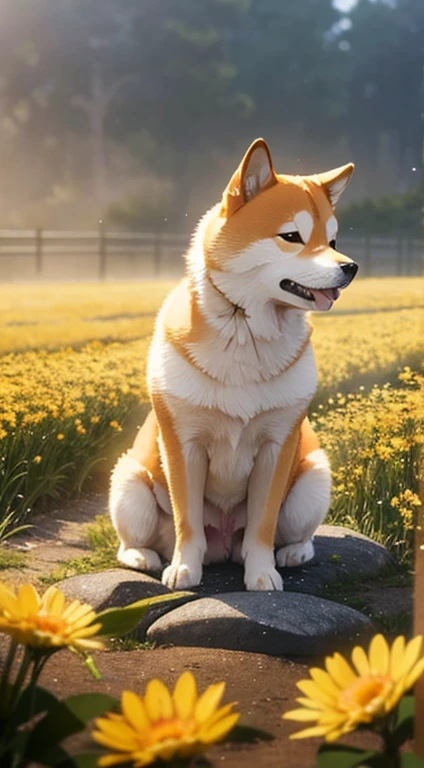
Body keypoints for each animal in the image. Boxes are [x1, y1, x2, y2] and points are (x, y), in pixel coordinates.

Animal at [109, 138, 358, 592]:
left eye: (333, 240)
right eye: (292, 237)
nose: (350, 267)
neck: (245, 330)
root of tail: (223, 545)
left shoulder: (277, 445)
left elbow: (262, 525)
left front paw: (262, 574)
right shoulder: (184, 443)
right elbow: (188, 521)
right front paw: (184, 569)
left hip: (313, 478)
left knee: (297, 535)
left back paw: (292, 554)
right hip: (129, 483)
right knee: (133, 540)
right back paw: (146, 557)